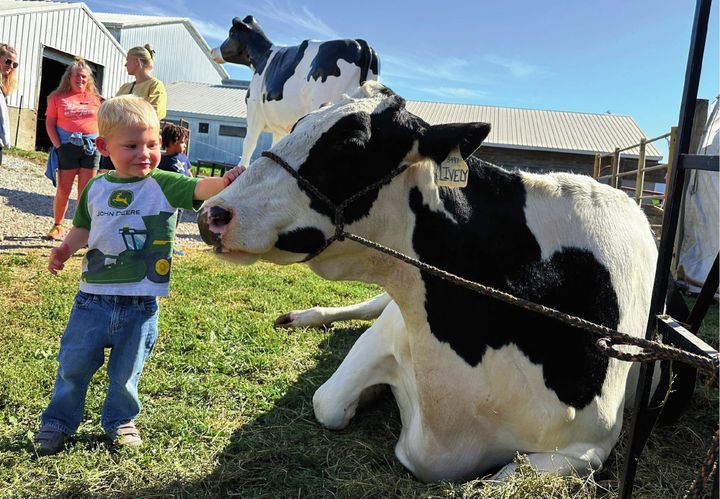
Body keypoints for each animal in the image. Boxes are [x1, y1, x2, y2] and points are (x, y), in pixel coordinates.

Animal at [197, 81, 658, 482]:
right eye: (297, 124)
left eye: (352, 144)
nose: (212, 214)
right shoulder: (387, 332)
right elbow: (328, 402)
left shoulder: (589, 447)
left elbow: (507, 476)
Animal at [210, 15, 380, 167]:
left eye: (231, 33)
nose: (212, 51)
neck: (262, 57)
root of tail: (361, 43)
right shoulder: (279, 126)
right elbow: (275, 146)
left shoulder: (254, 109)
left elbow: (249, 143)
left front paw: (240, 169)